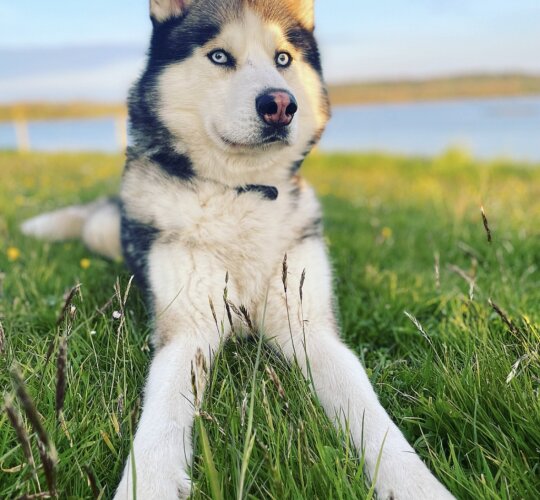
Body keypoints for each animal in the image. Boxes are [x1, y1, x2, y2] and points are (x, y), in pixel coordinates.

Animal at [24, 0, 456, 500]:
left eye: (283, 58)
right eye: (219, 56)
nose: (279, 105)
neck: (242, 192)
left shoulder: (308, 325)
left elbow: (369, 412)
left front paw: (416, 484)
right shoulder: (189, 329)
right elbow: (161, 420)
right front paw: (147, 481)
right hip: (104, 230)